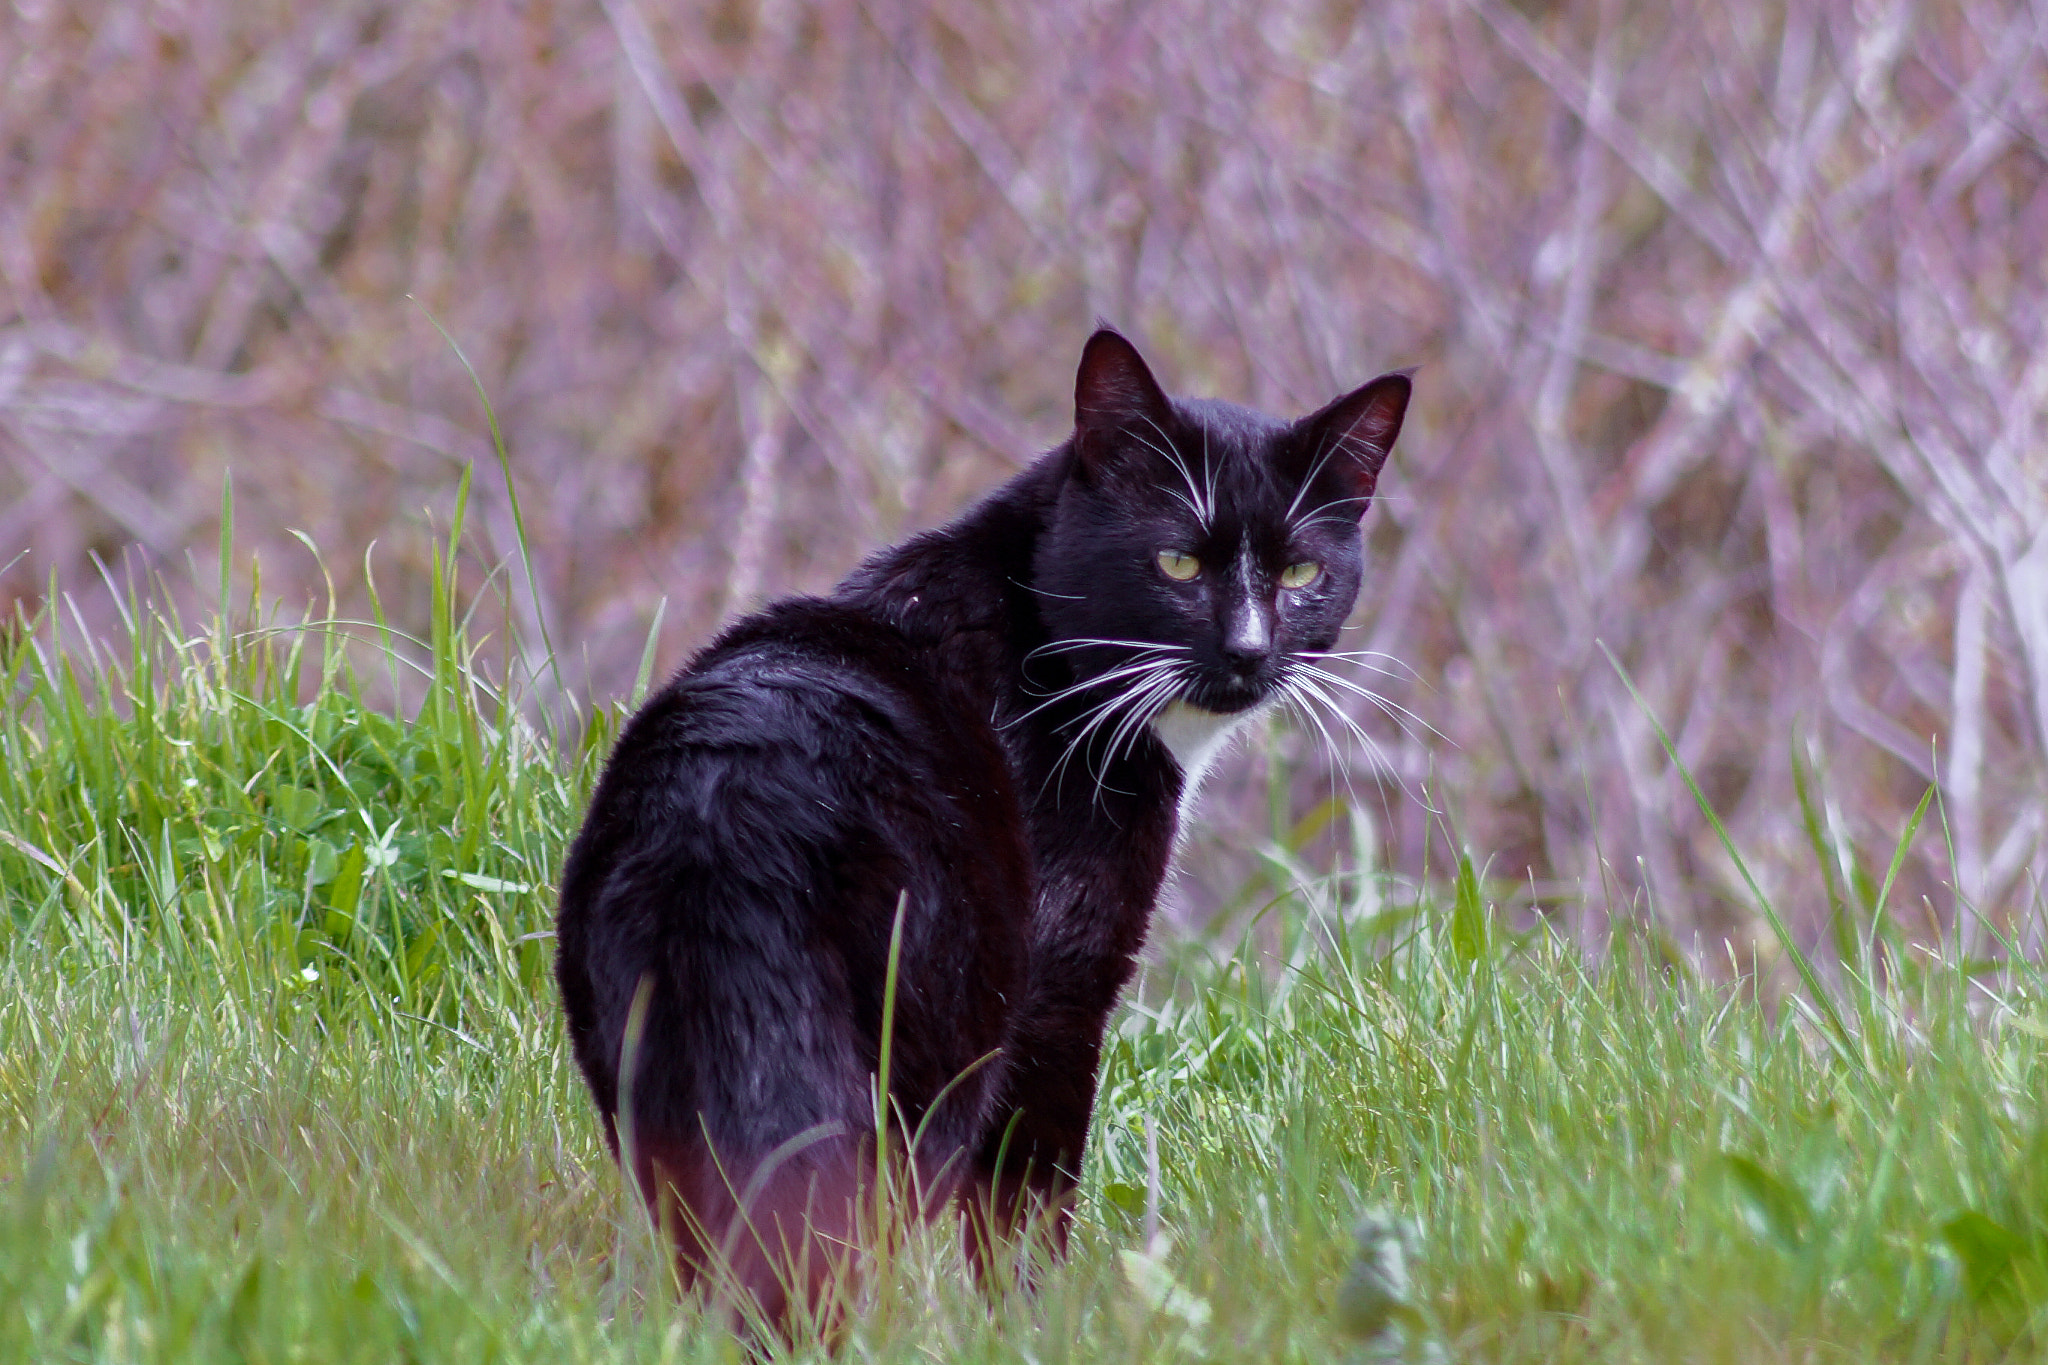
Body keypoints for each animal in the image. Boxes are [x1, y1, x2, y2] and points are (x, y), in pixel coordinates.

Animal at [552, 327, 1409, 1334]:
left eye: (1302, 572)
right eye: (1178, 564)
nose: (1247, 649)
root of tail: (726, 820)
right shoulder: (1061, 988)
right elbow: (1026, 1208)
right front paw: (1042, 1329)